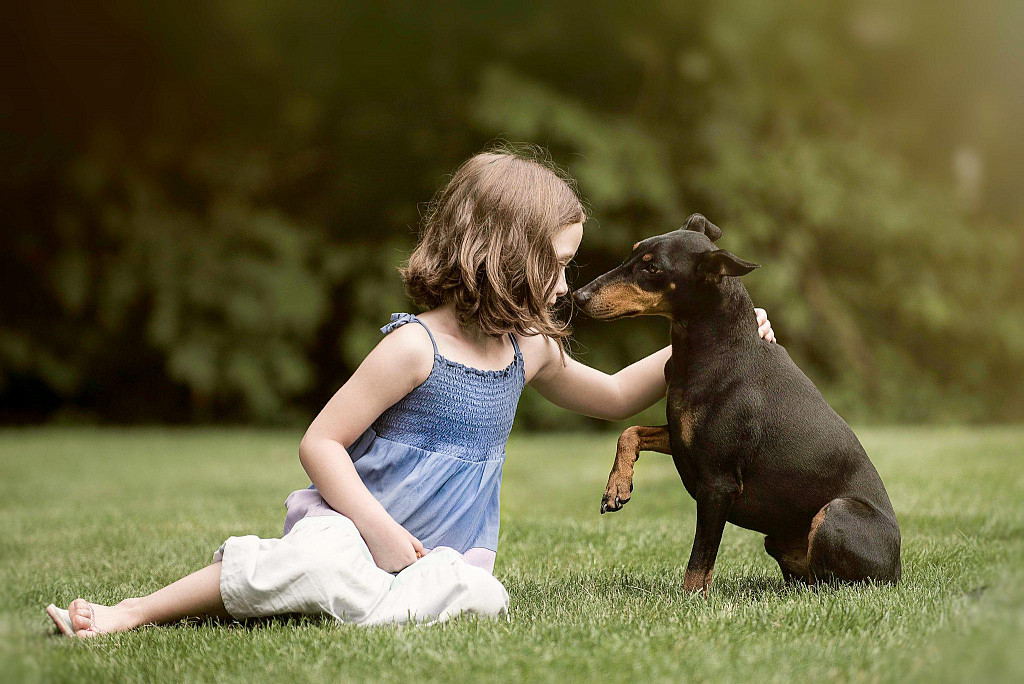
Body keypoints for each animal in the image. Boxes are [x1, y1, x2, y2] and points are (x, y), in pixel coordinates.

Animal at [573, 215, 901, 593]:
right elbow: (630, 431)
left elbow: (699, 560)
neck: (709, 349)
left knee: (834, 584)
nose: (578, 296)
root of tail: (898, 571)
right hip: (777, 539)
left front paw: (688, 601)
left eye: (652, 268)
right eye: (633, 253)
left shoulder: (718, 483)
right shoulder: (683, 438)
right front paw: (617, 487)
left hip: (836, 513)